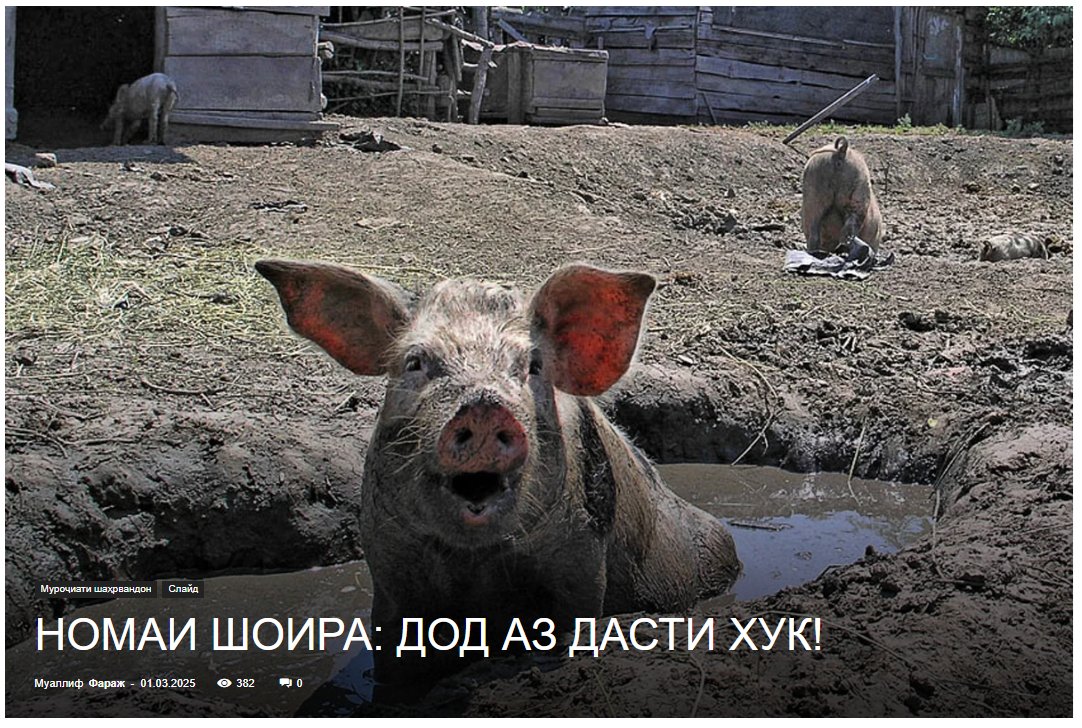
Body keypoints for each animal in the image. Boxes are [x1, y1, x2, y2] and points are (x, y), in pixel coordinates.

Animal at [256, 260, 741, 689]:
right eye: (415, 362)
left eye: (533, 366)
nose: (484, 406)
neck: (474, 563)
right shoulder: (391, 570)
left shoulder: (581, 559)